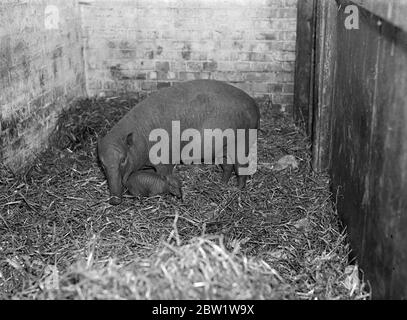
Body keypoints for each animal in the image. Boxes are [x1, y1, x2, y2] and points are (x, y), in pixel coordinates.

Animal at [97, 79, 260, 205]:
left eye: (123, 159)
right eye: (102, 163)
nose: (114, 200)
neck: (141, 139)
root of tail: (254, 105)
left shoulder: (164, 158)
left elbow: (166, 174)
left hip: (243, 141)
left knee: (241, 166)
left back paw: (237, 189)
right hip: (222, 148)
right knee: (227, 166)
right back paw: (222, 184)